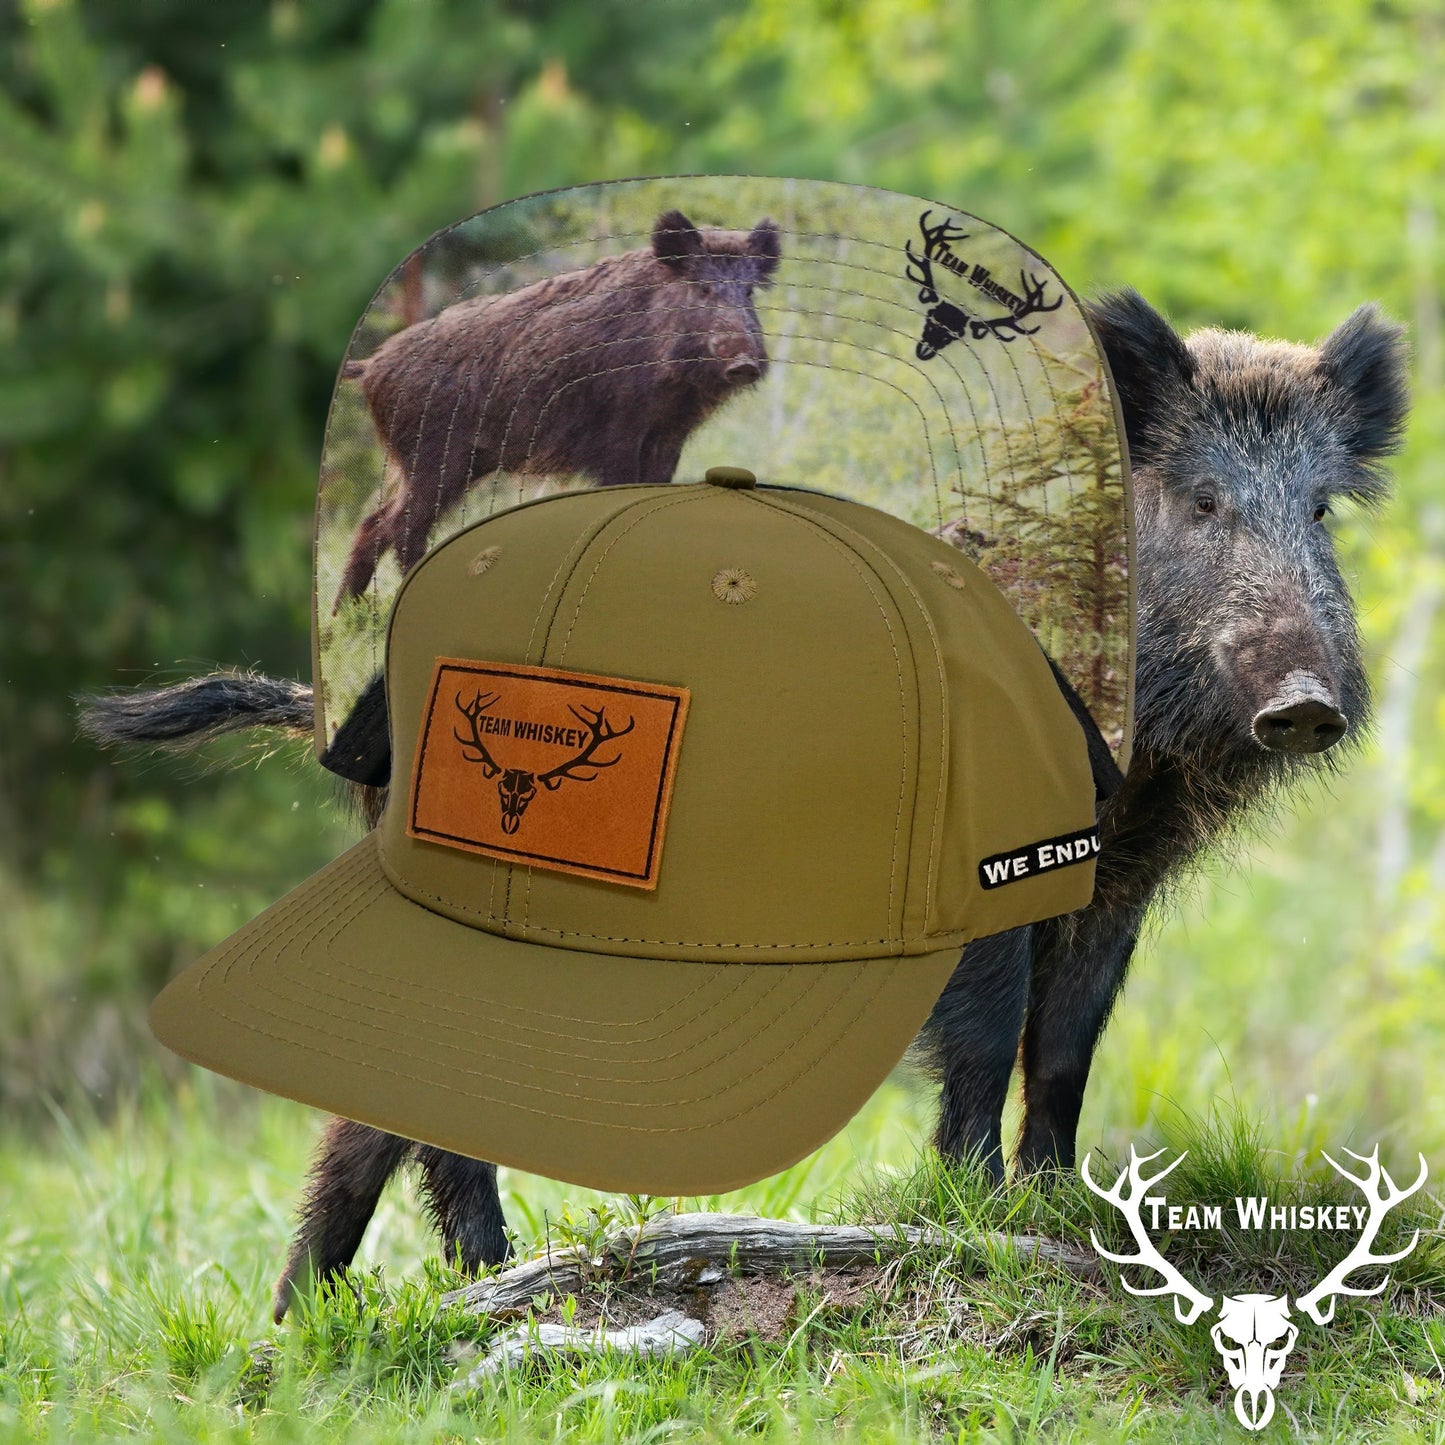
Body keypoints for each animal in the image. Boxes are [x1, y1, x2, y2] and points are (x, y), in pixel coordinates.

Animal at [80, 290, 1408, 1319]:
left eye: (1319, 510)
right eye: (1199, 501)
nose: (1302, 700)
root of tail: (345, 716)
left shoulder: (1119, 880)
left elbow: (1069, 1046)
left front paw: (1055, 1213)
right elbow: (986, 1037)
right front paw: (974, 1214)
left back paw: (358, 1311)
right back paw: (442, 1289)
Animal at [335, 209, 781, 607]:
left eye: (749, 292)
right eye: (702, 289)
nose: (743, 363)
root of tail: (373, 365)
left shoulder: (668, 436)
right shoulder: (619, 430)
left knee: (375, 525)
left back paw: (346, 616)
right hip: (434, 457)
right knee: (399, 526)